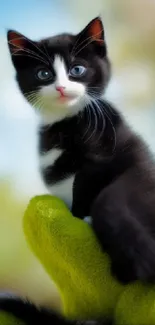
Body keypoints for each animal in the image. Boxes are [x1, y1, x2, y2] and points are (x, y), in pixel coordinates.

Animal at [1, 17, 155, 324]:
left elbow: (91, 185)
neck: (66, 124)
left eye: (77, 70)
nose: (61, 88)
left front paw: (80, 218)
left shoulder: (109, 154)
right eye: (44, 74)